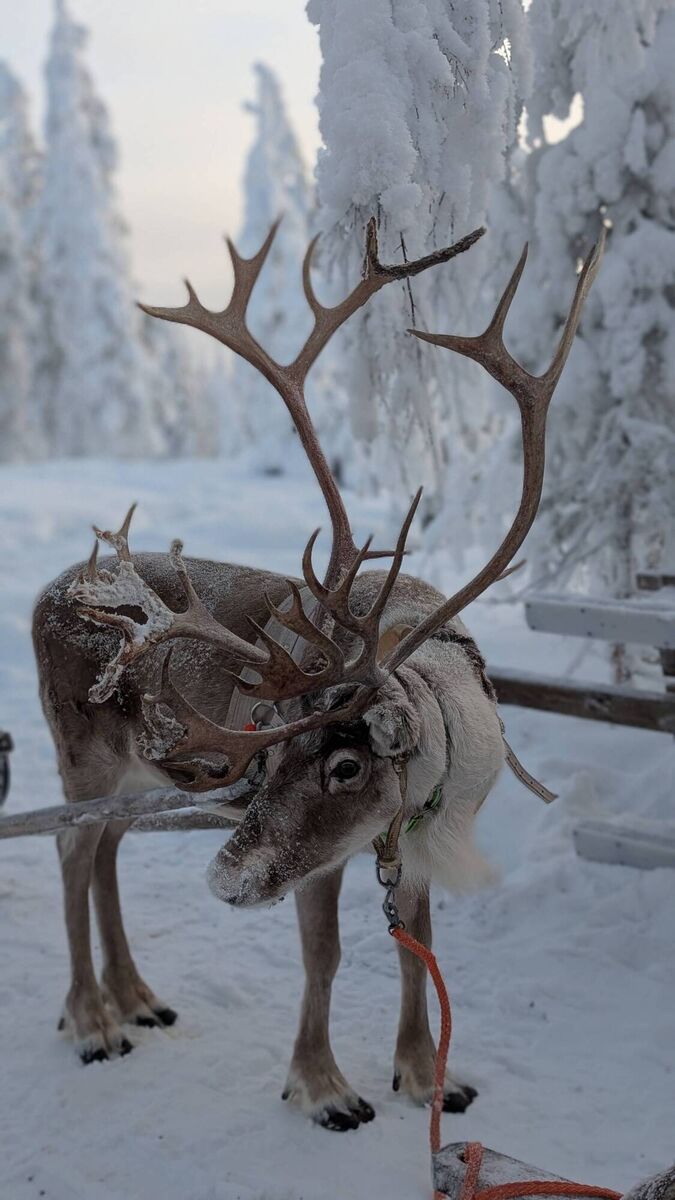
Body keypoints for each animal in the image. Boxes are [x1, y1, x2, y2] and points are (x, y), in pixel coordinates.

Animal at [31, 216, 603, 1131]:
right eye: (264, 752)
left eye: (345, 764)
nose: (223, 880)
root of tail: (47, 592)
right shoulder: (321, 861)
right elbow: (324, 958)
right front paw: (323, 1087)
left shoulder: (407, 840)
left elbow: (418, 951)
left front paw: (426, 1075)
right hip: (79, 754)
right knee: (70, 848)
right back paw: (91, 1019)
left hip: (135, 773)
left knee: (110, 849)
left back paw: (137, 997)